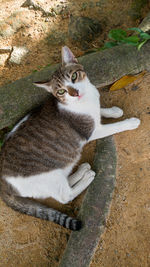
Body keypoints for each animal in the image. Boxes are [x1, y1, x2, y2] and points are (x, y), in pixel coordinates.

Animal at [0, 46, 141, 230]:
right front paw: (130, 122)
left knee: (66, 179)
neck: (87, 99)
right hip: (48, 177)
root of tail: (3, 184)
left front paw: (113, 111)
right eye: (61, 91)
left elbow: (100, 110)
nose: (75, 93)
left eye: (73, 77)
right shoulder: (92, 132)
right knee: (64, 195)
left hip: (57, 172)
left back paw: (82, 170)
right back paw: (86, 177)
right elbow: (115, 126)